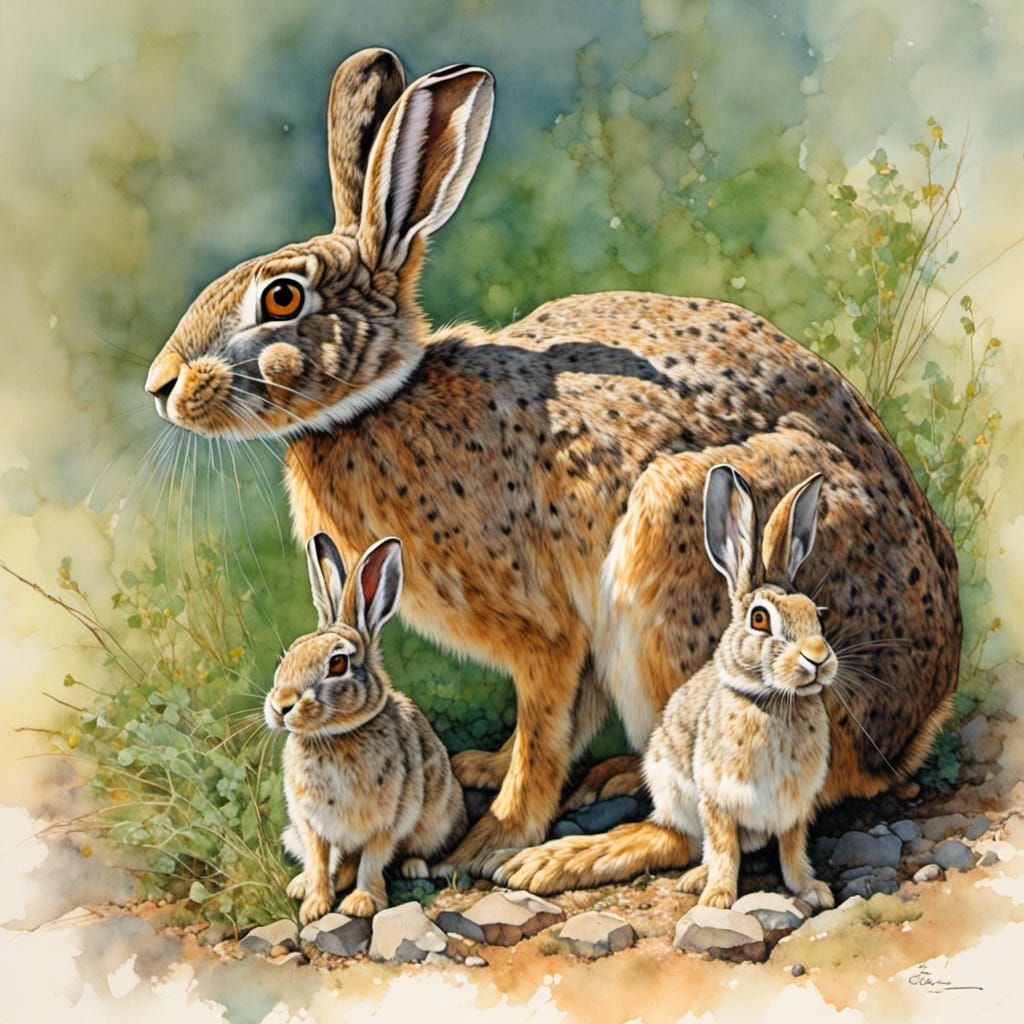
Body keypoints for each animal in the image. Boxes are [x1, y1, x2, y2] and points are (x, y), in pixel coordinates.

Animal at [264, 531, 466, 922]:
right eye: (288, 655)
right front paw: (313, 906)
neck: (333, 737)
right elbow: (319, 859)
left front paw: (361, 903)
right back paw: (301, 884)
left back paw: (412, 867)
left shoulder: (388, 818)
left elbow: (372, 858)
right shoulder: (311, 824)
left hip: (437, 818)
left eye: (337, 663)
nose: (280, 706)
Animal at [490, 463, 835, 910]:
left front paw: (813, 890)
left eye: (818, 615)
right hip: (673, 786)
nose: (818, 658)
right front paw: (717, 898)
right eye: (759, 619)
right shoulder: (717, 799)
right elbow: (723, 847)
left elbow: (792, 850)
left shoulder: (795, 808)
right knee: (682, 839)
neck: (774, 703)